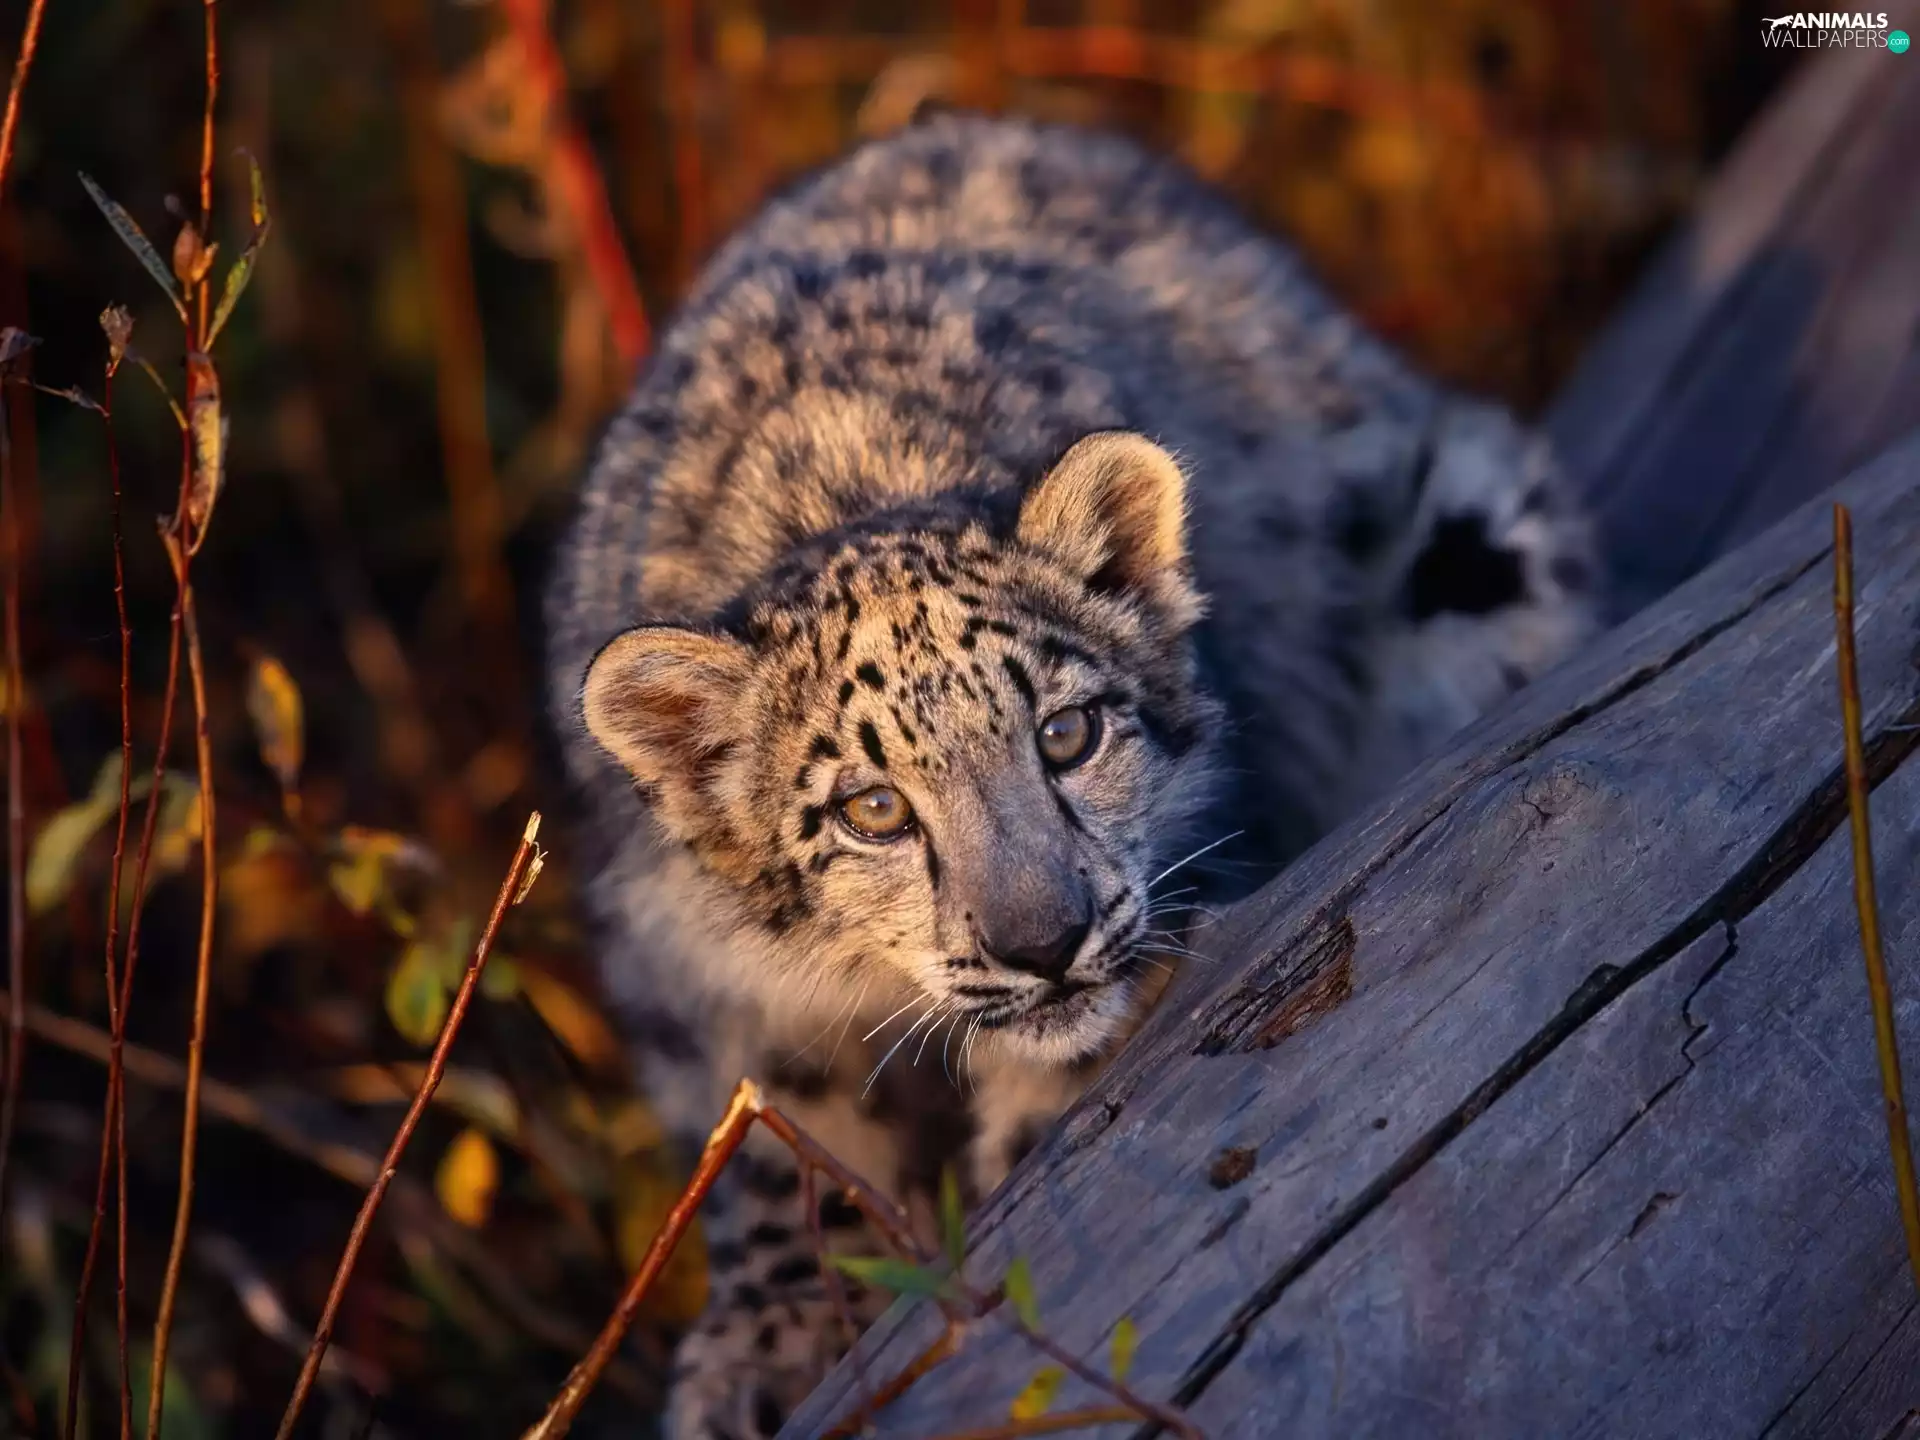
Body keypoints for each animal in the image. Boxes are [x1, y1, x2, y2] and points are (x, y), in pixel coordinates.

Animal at [543, 109, 1598, 1438]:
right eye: (872, 810)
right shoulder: (686, 971)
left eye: (1065, 735)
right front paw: (760, 1353)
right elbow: (783, 1129)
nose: (1043, 943)